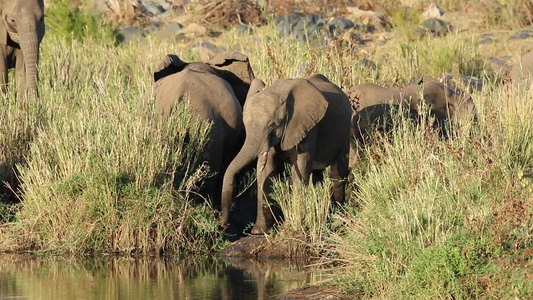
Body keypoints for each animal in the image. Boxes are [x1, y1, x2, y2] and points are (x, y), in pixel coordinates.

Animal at [218, 73, 352, 234]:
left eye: (272, 125)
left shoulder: (309, 126)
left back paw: (337, 216)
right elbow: (266, 172)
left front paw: (298, 226)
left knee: (337, 172)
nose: (223, 224)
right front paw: (259, 231)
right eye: (245, 124)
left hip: (345, 130)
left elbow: (300, 168)